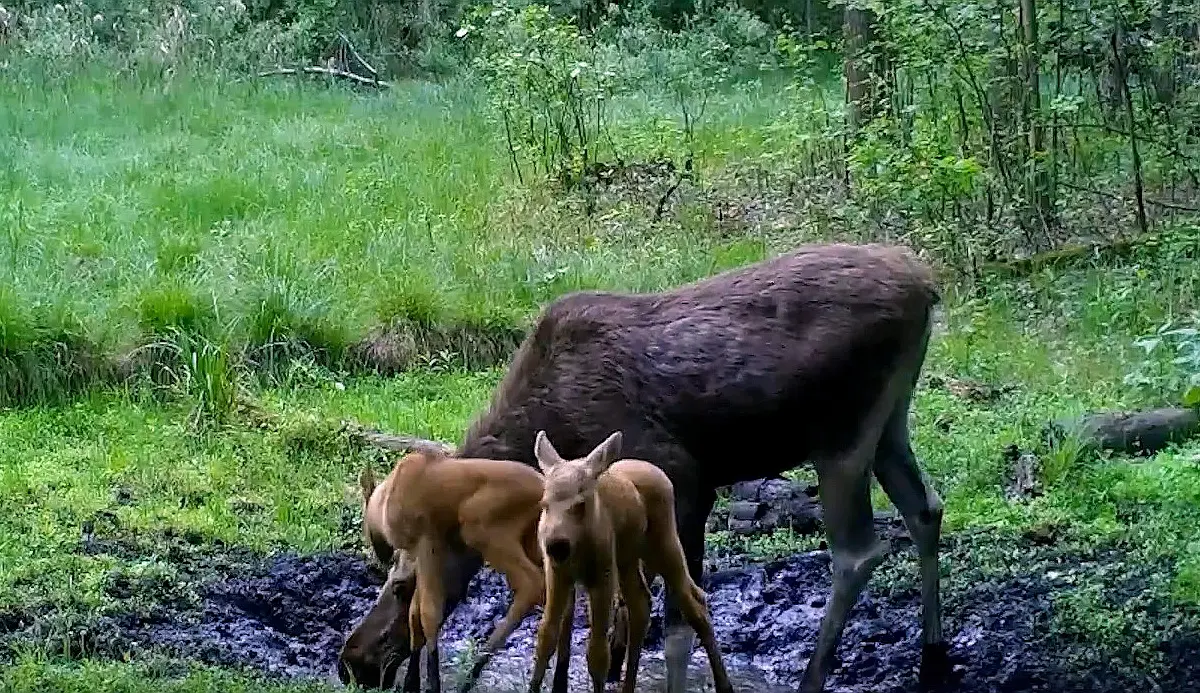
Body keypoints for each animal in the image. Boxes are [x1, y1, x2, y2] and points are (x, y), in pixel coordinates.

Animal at [530, 426, 734, 690]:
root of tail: (658, 472)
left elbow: (597, 652)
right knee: (642, 604)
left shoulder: (603, 574)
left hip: (664, 545)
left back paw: (724, 684)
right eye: (544, 503)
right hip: (628, 558)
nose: (555, 545)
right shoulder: (556, 573)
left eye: (581, 503)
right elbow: (546, 635)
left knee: (693, 604)